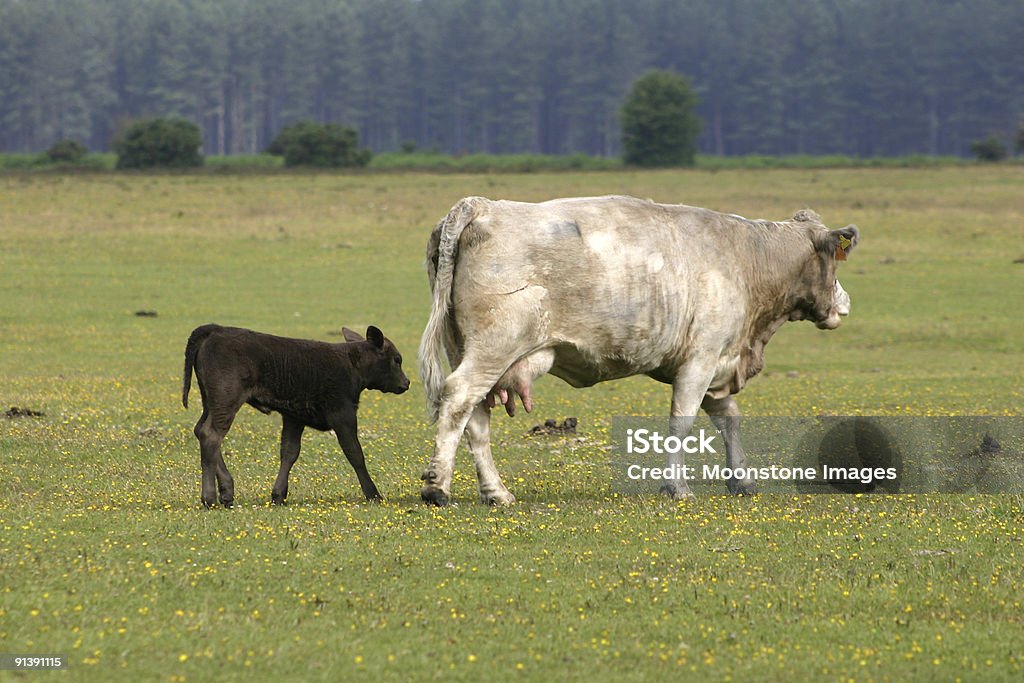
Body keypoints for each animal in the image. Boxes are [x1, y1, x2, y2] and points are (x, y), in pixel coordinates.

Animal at [415, 194, 856, 505]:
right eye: (835, 263)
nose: (845, 302)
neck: (747, 259)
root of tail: (481, 205)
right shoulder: (700, 360)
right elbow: (681, 425)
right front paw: (676, 488)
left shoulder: (717, 365)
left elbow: (728, 421)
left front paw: (741, 480)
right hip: (493, 348)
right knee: (458, 399)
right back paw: (438, 486)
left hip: (466, 350)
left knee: (475, 417)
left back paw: (495, 492)